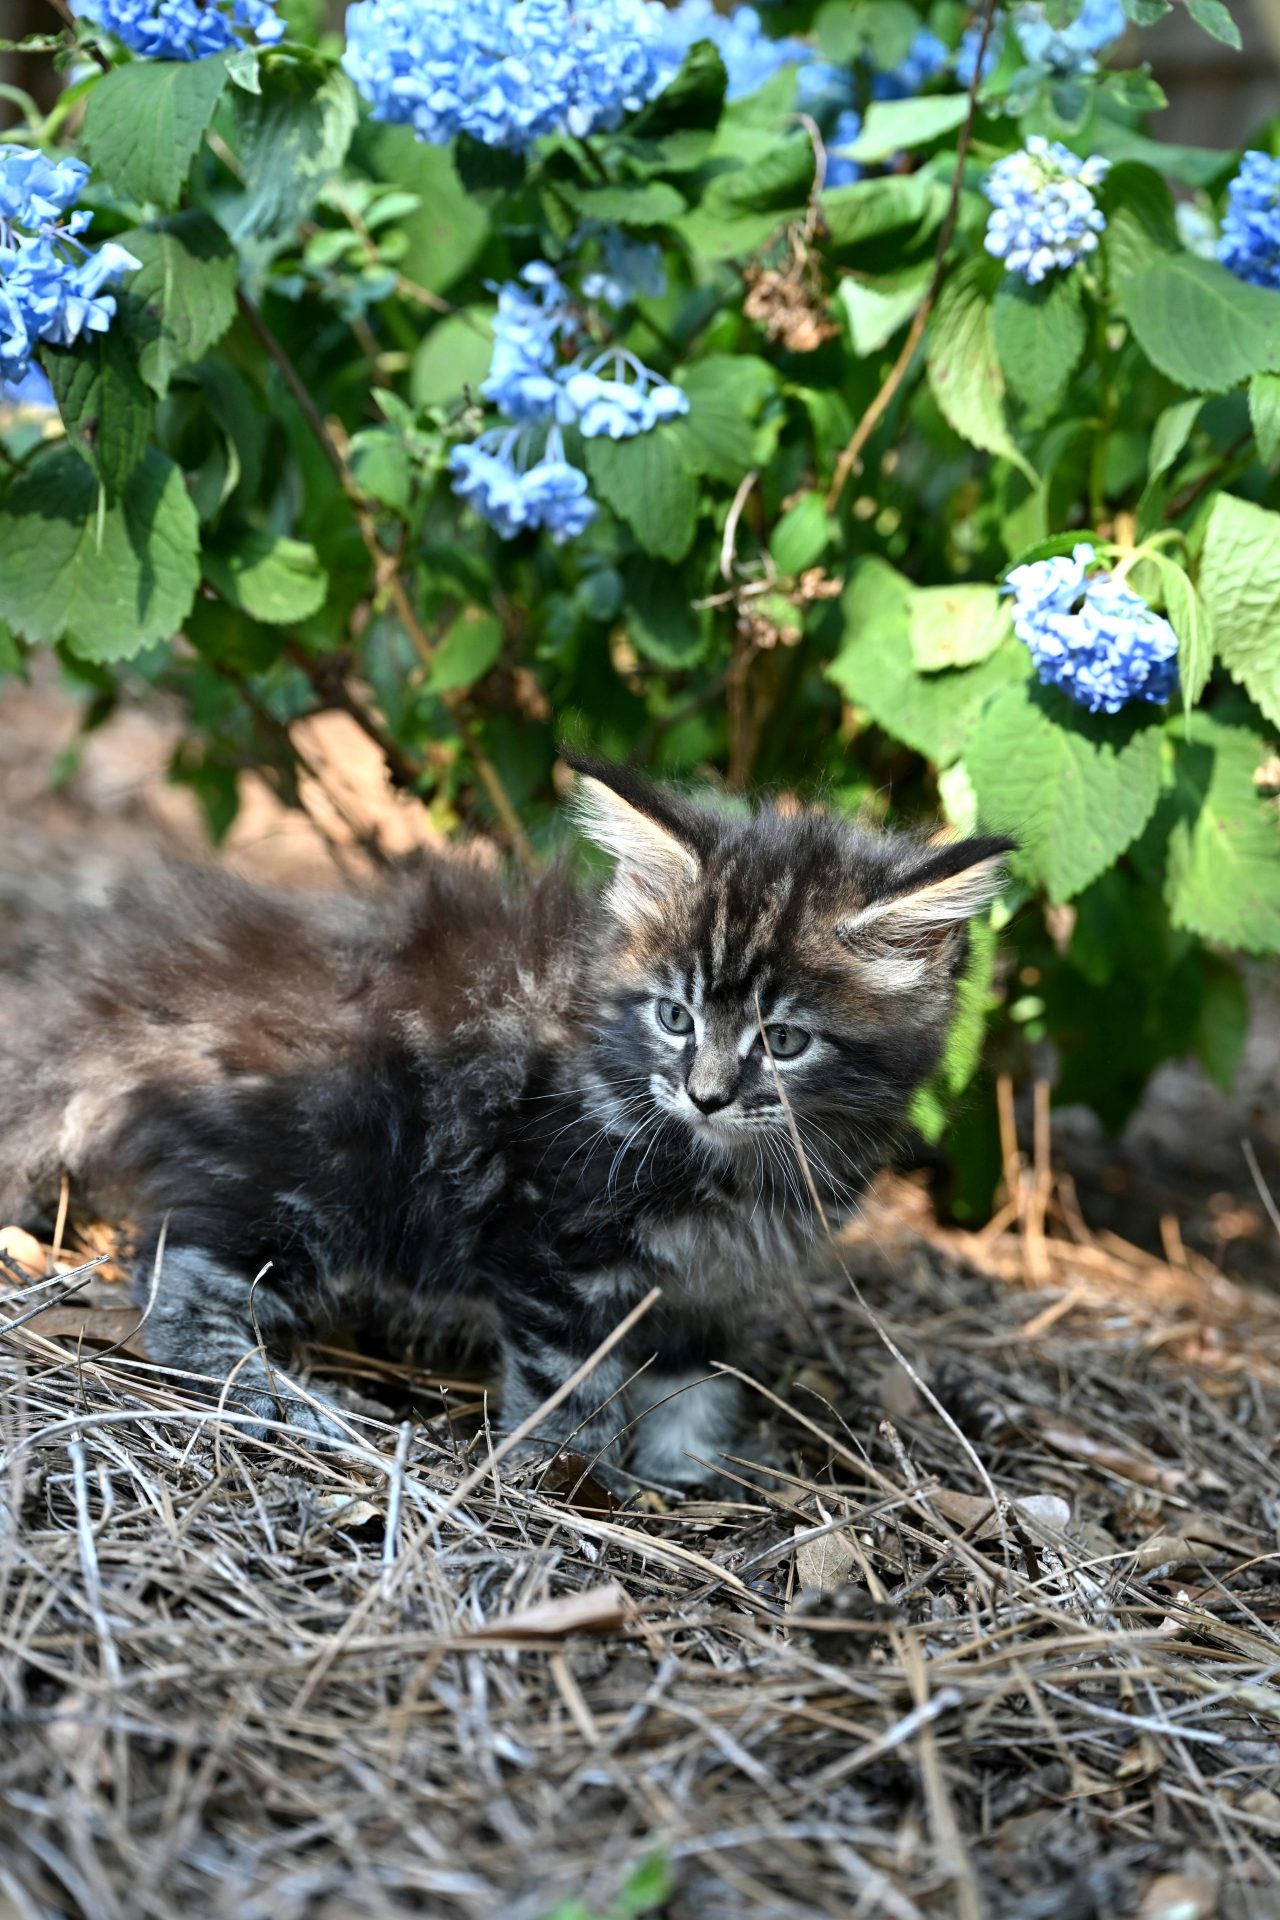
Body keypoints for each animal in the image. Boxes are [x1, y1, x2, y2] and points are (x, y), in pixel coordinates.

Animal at [0, 754, 1011, 1492]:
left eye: (785, 1040)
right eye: (675, 1017)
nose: (706, 1093)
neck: (727, 1164)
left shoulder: (706, 1285)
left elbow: (692, 1376)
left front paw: (690, 1467)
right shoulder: (552, 1238)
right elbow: (571, 1376)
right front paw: (572, 1474)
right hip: (325, 1165)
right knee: (177, 1273)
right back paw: (276, 1395)